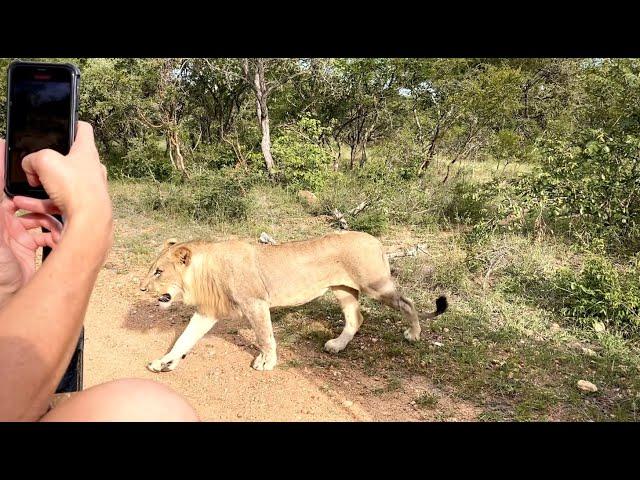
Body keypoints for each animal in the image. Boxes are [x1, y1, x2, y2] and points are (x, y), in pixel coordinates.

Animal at [138, 231, 448, 374]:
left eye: (158, 271)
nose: (141, 288)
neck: (206, 269)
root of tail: (376, 240)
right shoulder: (207, 312)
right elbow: (184, 339)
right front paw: (164, 362)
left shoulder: (255, 303)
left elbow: (265, 337)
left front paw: (266, 362)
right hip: (343, 289)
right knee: (356, 318)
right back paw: (337, 345)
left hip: (375, 285)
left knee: (407, 302)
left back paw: (413, 334)